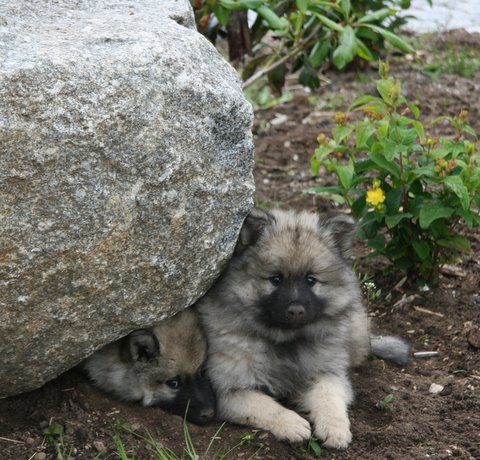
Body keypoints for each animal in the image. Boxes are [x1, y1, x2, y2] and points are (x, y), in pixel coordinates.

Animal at [195, 208, 408, 450]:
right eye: (276, 279)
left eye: (311, 280)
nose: (296, 310)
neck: (286, 340)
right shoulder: (231, 390)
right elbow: (266, 405)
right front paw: (292, 424)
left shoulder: (327, 374)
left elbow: (329, 398)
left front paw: (335, 428)